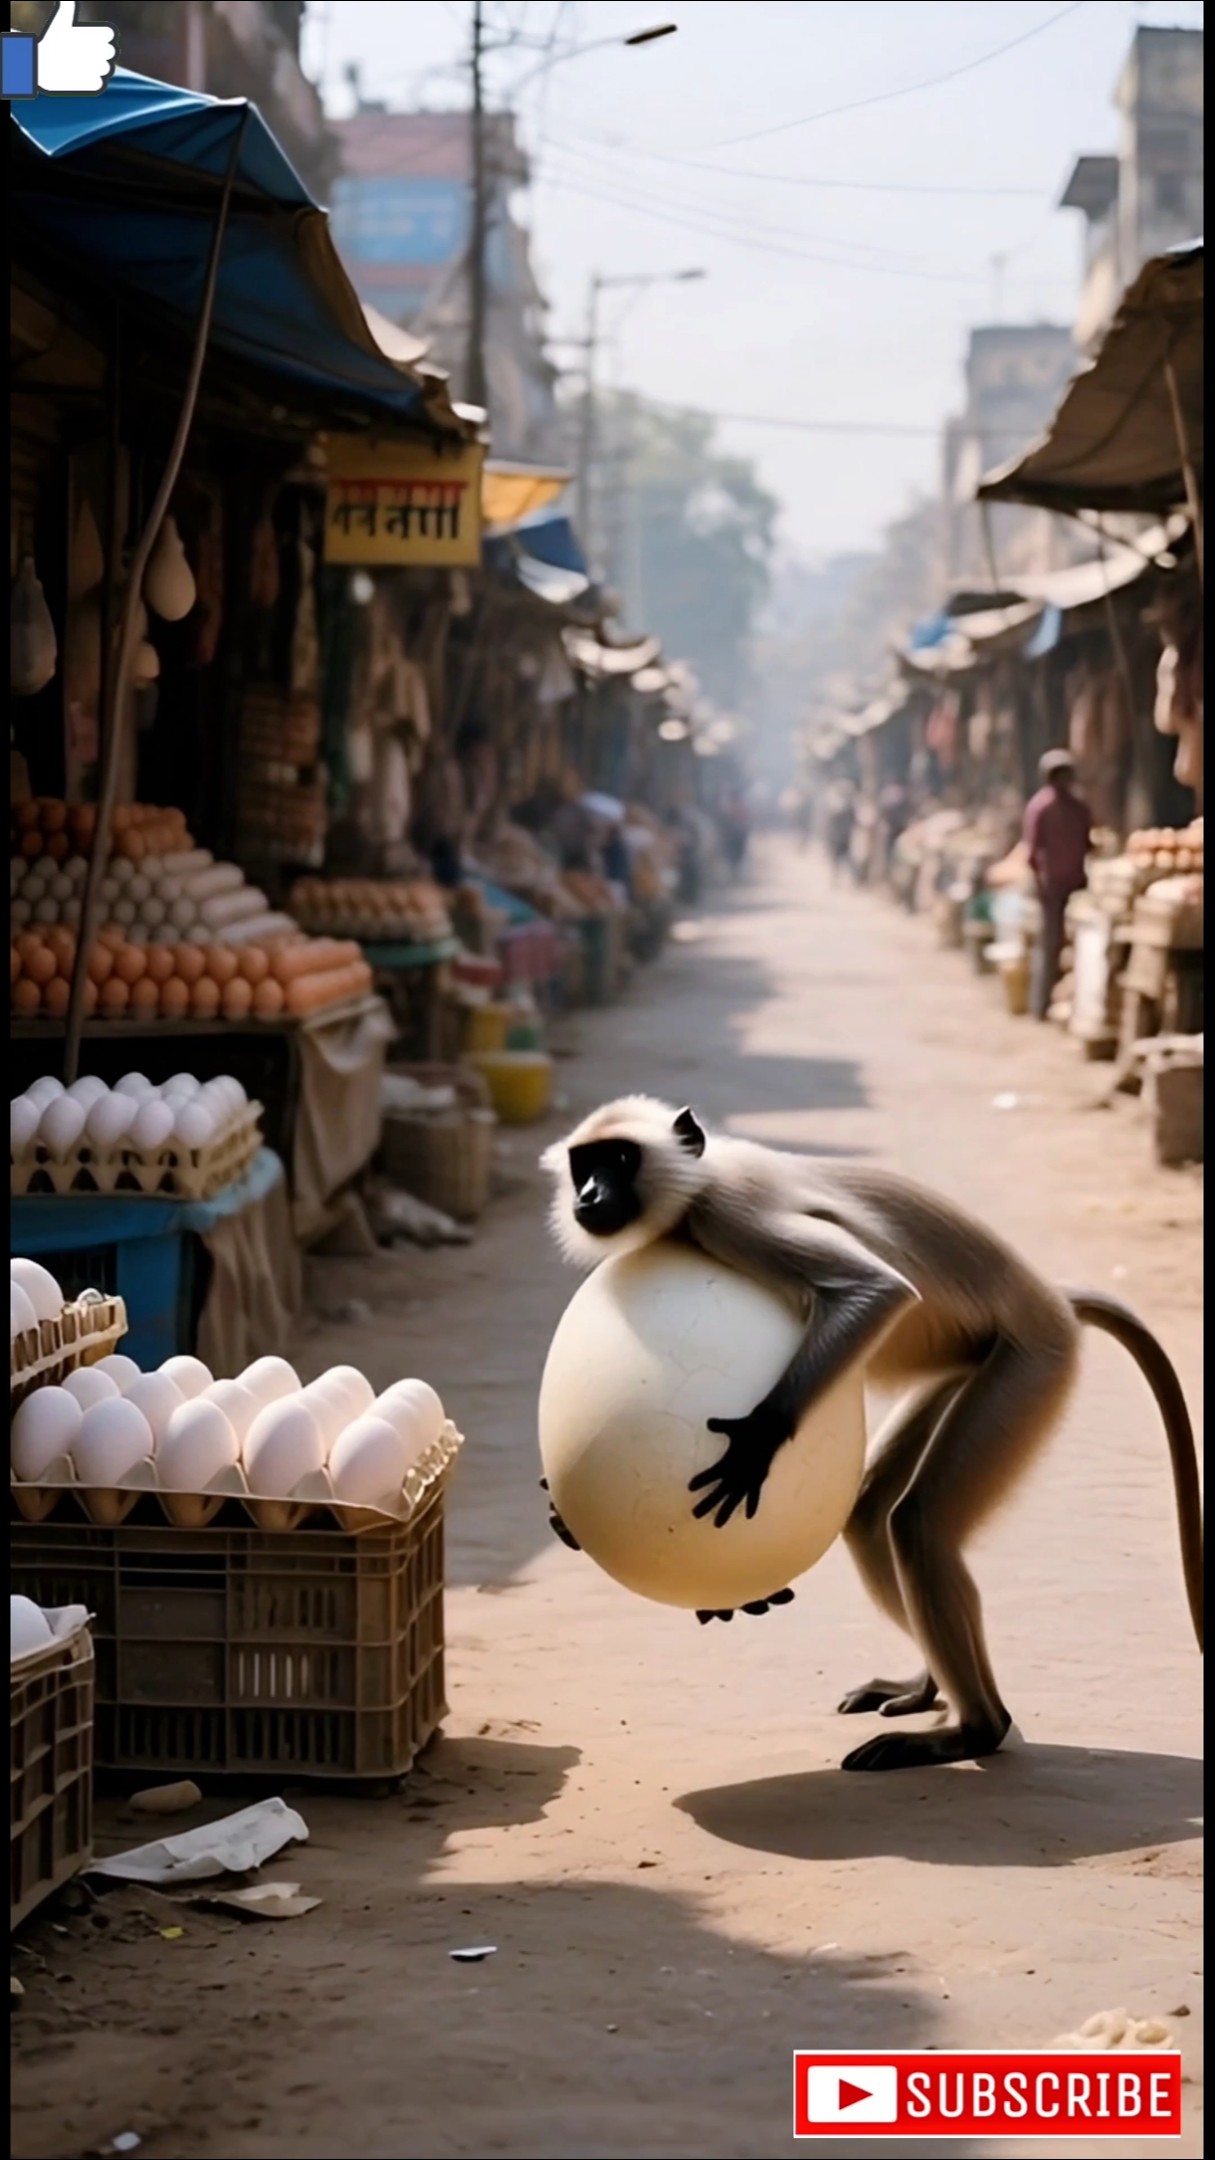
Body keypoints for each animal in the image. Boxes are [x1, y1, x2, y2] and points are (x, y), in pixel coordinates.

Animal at [540, 1095, 1203, 1773]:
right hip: (965, 1367)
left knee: (917, 1522)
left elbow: (878, 1289)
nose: (590, 1194)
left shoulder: (728, 1212)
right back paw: (927, 1689)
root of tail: (1052, 1301)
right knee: (871, 1512)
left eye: (620, 1159)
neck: (695, 1185)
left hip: (1031, 1364)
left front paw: (755, 1445)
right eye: (584, 1165)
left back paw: (973, 1730)